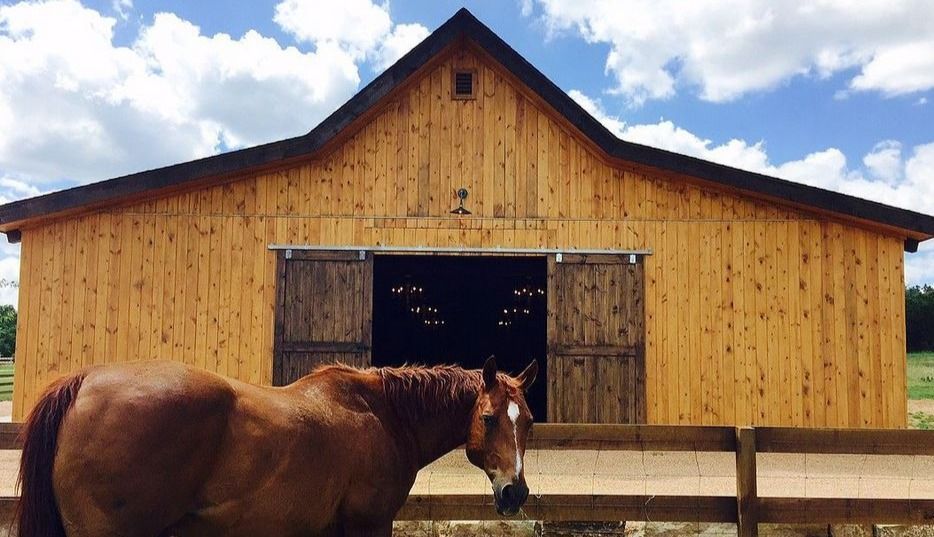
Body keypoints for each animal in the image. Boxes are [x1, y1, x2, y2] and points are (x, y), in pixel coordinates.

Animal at [15, 356, 538, 537]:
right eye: (489, 419)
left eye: (529, 422)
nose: (515, 493)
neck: (383, 412)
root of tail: (84, 382)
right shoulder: (367, 525)